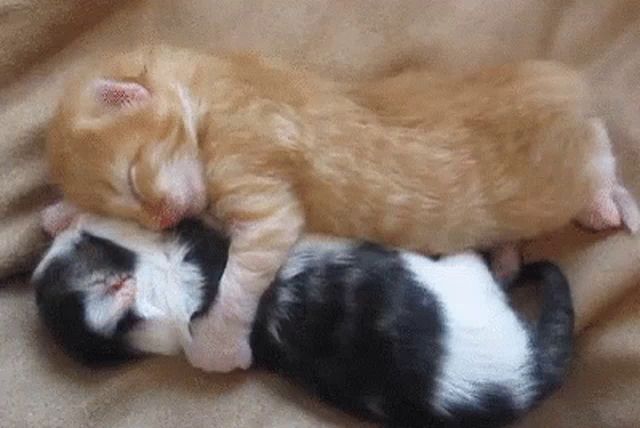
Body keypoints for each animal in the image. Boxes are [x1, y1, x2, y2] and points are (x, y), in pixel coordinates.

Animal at [33, 216, 576, 428]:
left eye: (83, 241)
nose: (67, 229)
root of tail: (524, 382)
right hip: (468, 283)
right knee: (491, 266)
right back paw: (505, 251)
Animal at [43, 44, 636, 372]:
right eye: (133, 213)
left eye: (132, 179)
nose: (164, 221)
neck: (209, 92)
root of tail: (564, 86)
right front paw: (60, 214)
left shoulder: (266, 204)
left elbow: (238, 283)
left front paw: (217, 347)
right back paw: (510, 254)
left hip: (563, 174)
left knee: (599, 153)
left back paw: (609, 204)